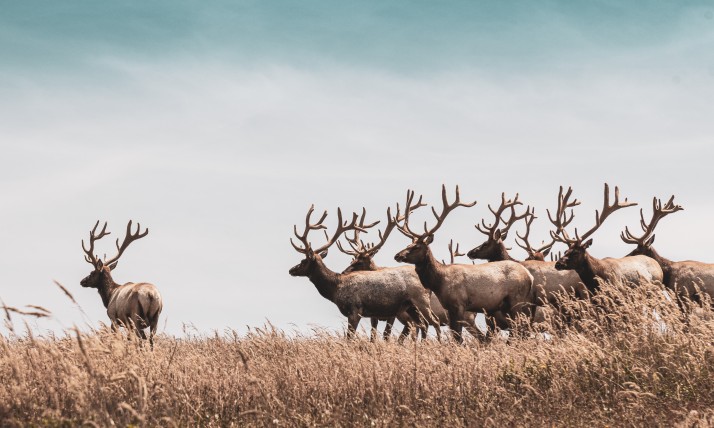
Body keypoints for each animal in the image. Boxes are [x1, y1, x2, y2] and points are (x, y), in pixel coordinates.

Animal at [290, 205, 440, 342]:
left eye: (303, 260)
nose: (291, 270)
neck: (336, 288)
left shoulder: (355, 309)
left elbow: (349, 338)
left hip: (420, 300)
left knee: (433, 321)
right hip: (410, 307)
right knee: (423, 324)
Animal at [392, 186, 532, 342]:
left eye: (416, 247)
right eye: (408, 244)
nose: (397, 255)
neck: (439, 281)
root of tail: (529, 277)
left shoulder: (458, 304)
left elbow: (458, 337)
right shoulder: (450, 308)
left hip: (516, 299)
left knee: (521, 327)